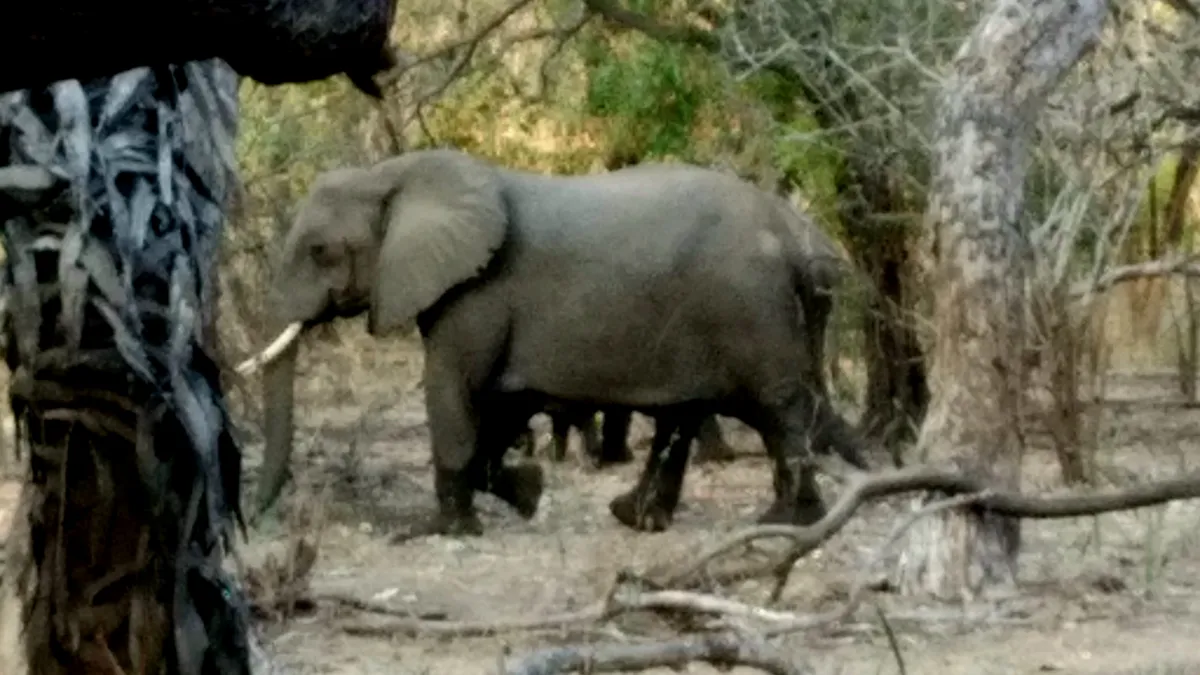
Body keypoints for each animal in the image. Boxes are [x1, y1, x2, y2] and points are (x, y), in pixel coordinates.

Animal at [255, 147, 866, 534]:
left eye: (319, 252)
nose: (257, 519)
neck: (391, 174)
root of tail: (797, 237)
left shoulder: (478, 290)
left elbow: (453, 388)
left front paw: (442, 531)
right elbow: (499, 403)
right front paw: (528, 492)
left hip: (748, 306)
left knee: (778, 408)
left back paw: (786, 522)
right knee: (687, 414)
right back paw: (636, 518)